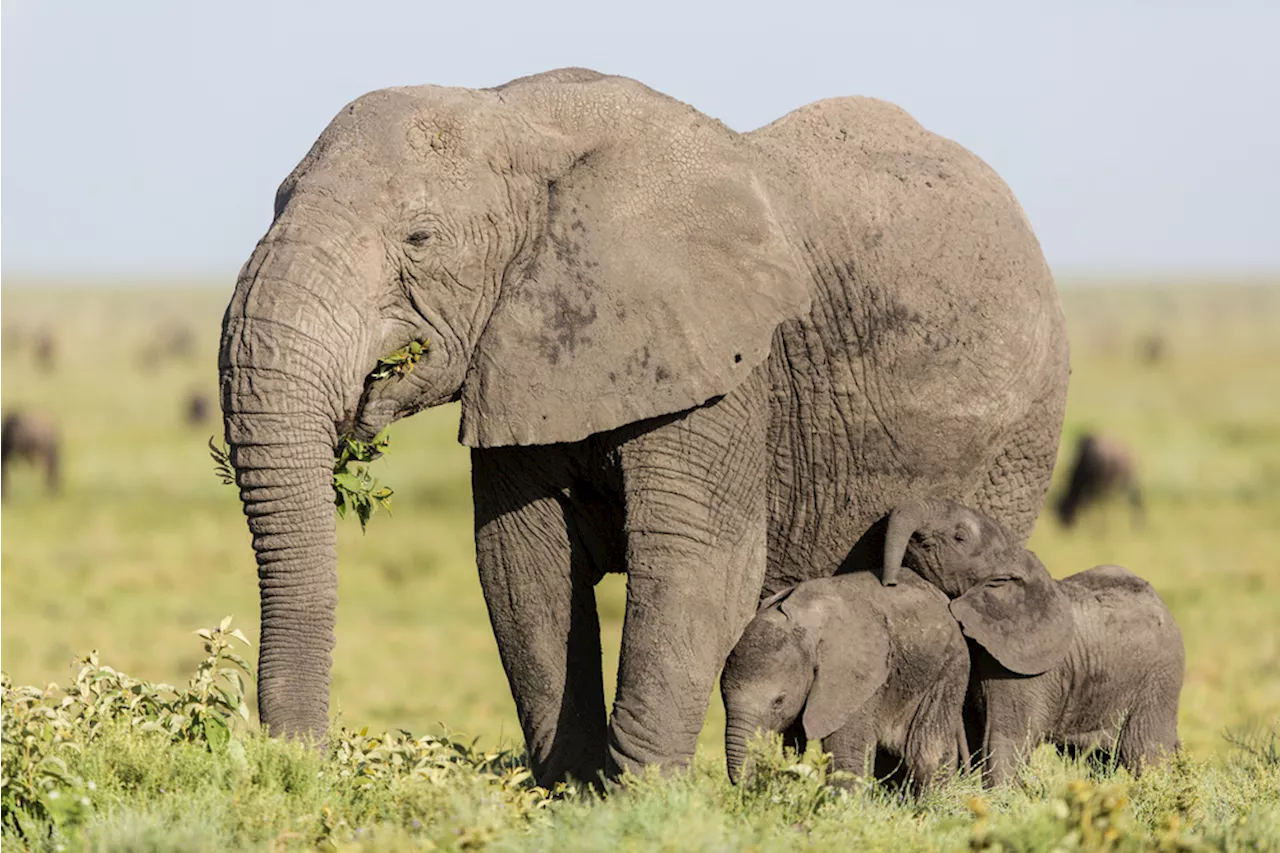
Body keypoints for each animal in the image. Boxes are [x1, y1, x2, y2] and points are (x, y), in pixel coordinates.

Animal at [885, 499, 1182, 783]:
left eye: (959, 537)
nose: (889, 583)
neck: (1012, 561)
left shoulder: (1025, 675)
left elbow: (1004, 738)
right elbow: (973, 732)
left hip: (1158, 682)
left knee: (1147, 753)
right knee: (1097, 760)